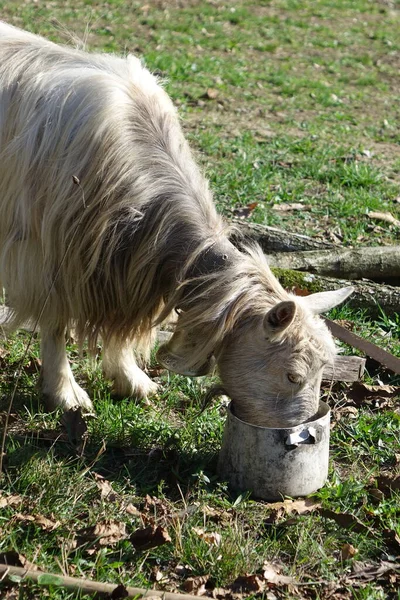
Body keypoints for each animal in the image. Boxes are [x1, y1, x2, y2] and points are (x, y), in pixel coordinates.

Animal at [0, 22, 354, 426]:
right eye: (293, 375)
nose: (304, 431)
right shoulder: (45, 257)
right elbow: (57, 324)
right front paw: (64, 393)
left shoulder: (127, 267)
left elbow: (124, 329)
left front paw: (131, 380)